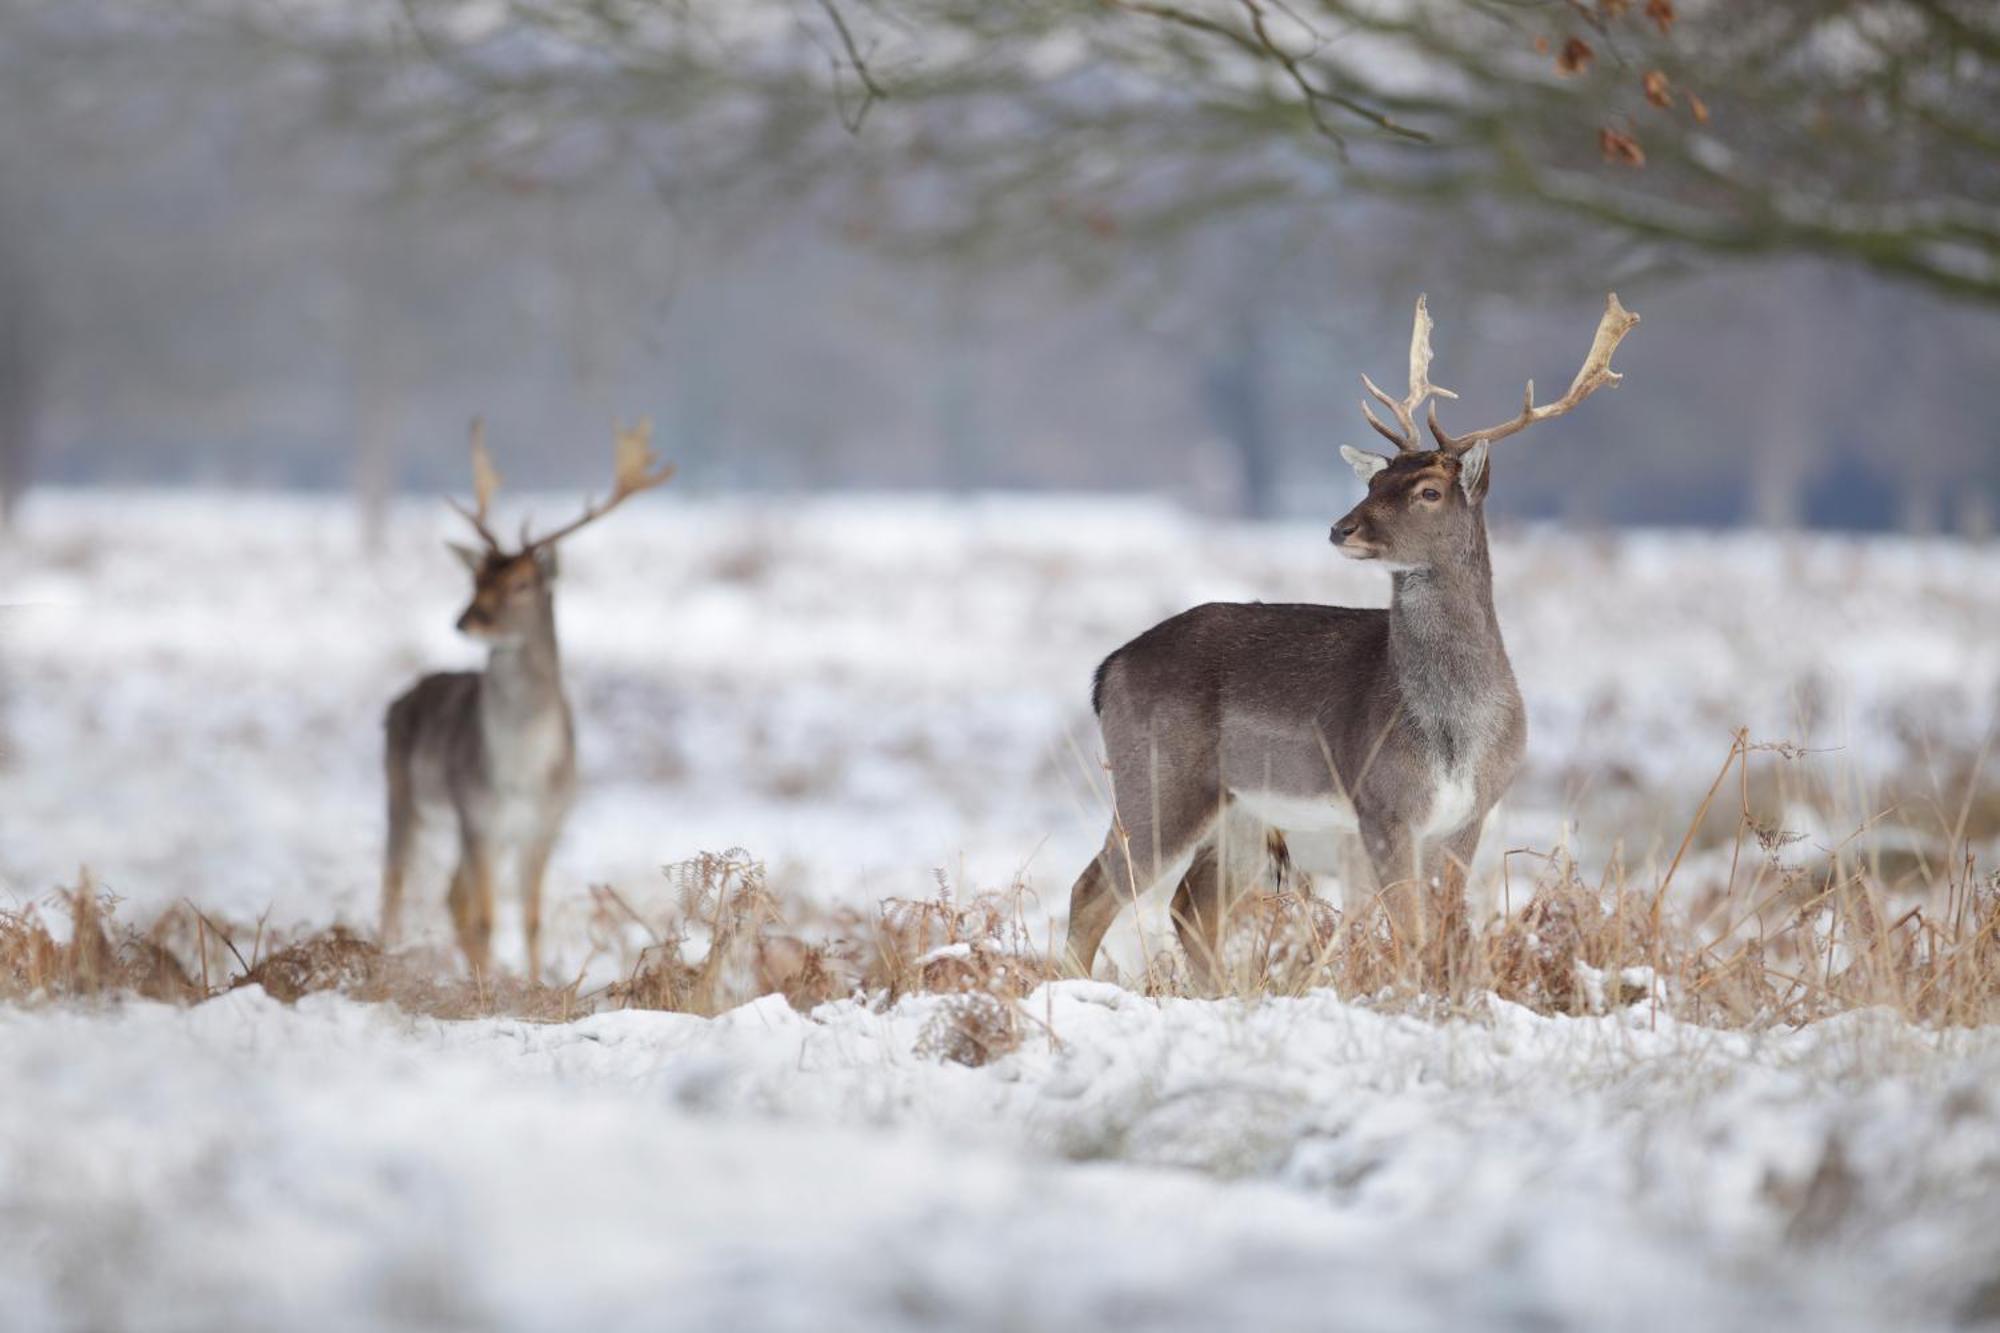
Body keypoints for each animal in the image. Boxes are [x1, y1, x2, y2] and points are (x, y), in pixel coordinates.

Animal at [378, 418, 676, 976]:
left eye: (521, 583)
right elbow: (487, 919)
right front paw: (493, 987)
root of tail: (401, 699)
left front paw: (535, 984)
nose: (466, 620)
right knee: (397, 884)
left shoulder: (546, 823)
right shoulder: (476, 814)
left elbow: (532, 920)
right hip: (402, 792)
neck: (520, 775)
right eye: (475, 578)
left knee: (451, 894)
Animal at [1064, 294, 1640, 984]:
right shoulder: (1383, 805)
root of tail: (1108, 669)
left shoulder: (1468, 817)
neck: (1454, 728)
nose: (1342, 528)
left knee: (1190, 909)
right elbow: (1411, 938)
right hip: (1156, 777)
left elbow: (1444, 935)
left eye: (1428, 491)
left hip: (1241, 815)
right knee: (1093, 889)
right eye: (1373, 483)